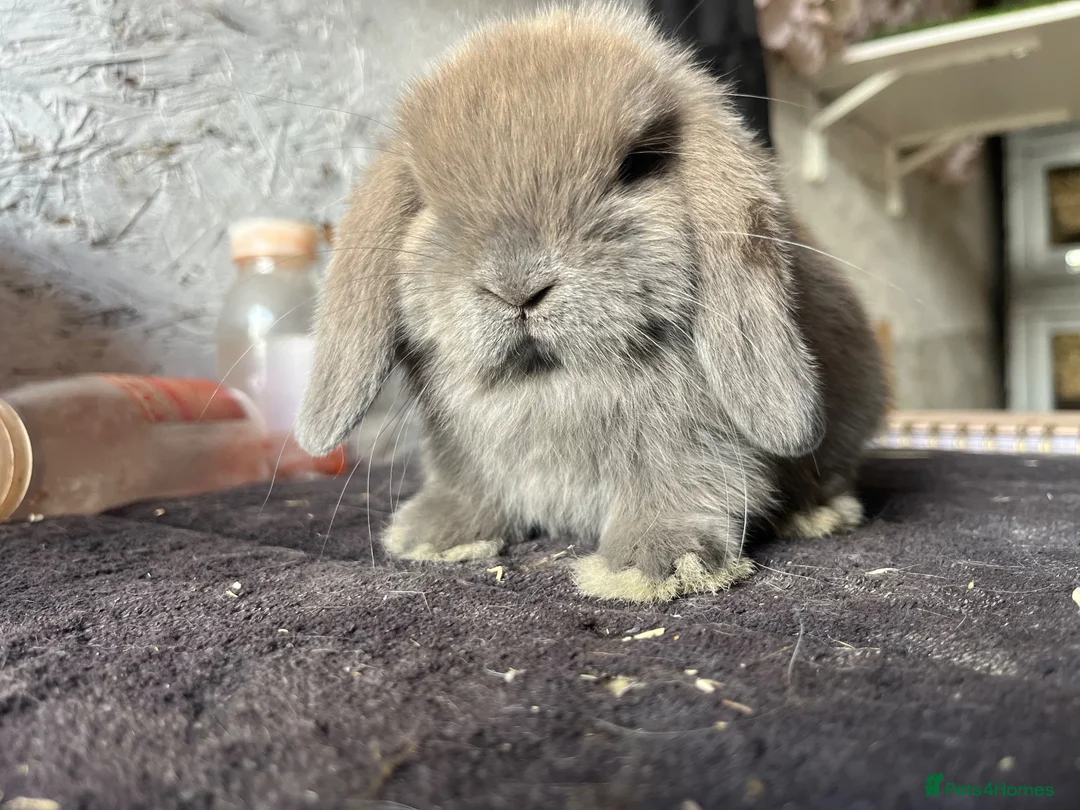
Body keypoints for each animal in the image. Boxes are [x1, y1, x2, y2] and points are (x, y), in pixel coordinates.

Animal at [295, 2, 888, 603]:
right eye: (424, 197)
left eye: (637, 165)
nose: (517, 285)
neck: (551, 384)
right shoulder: (457, 449)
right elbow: (470, 487)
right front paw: (434, 536)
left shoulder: (702, 448)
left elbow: (692, 487)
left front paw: (654, 565)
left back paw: (817, 515)